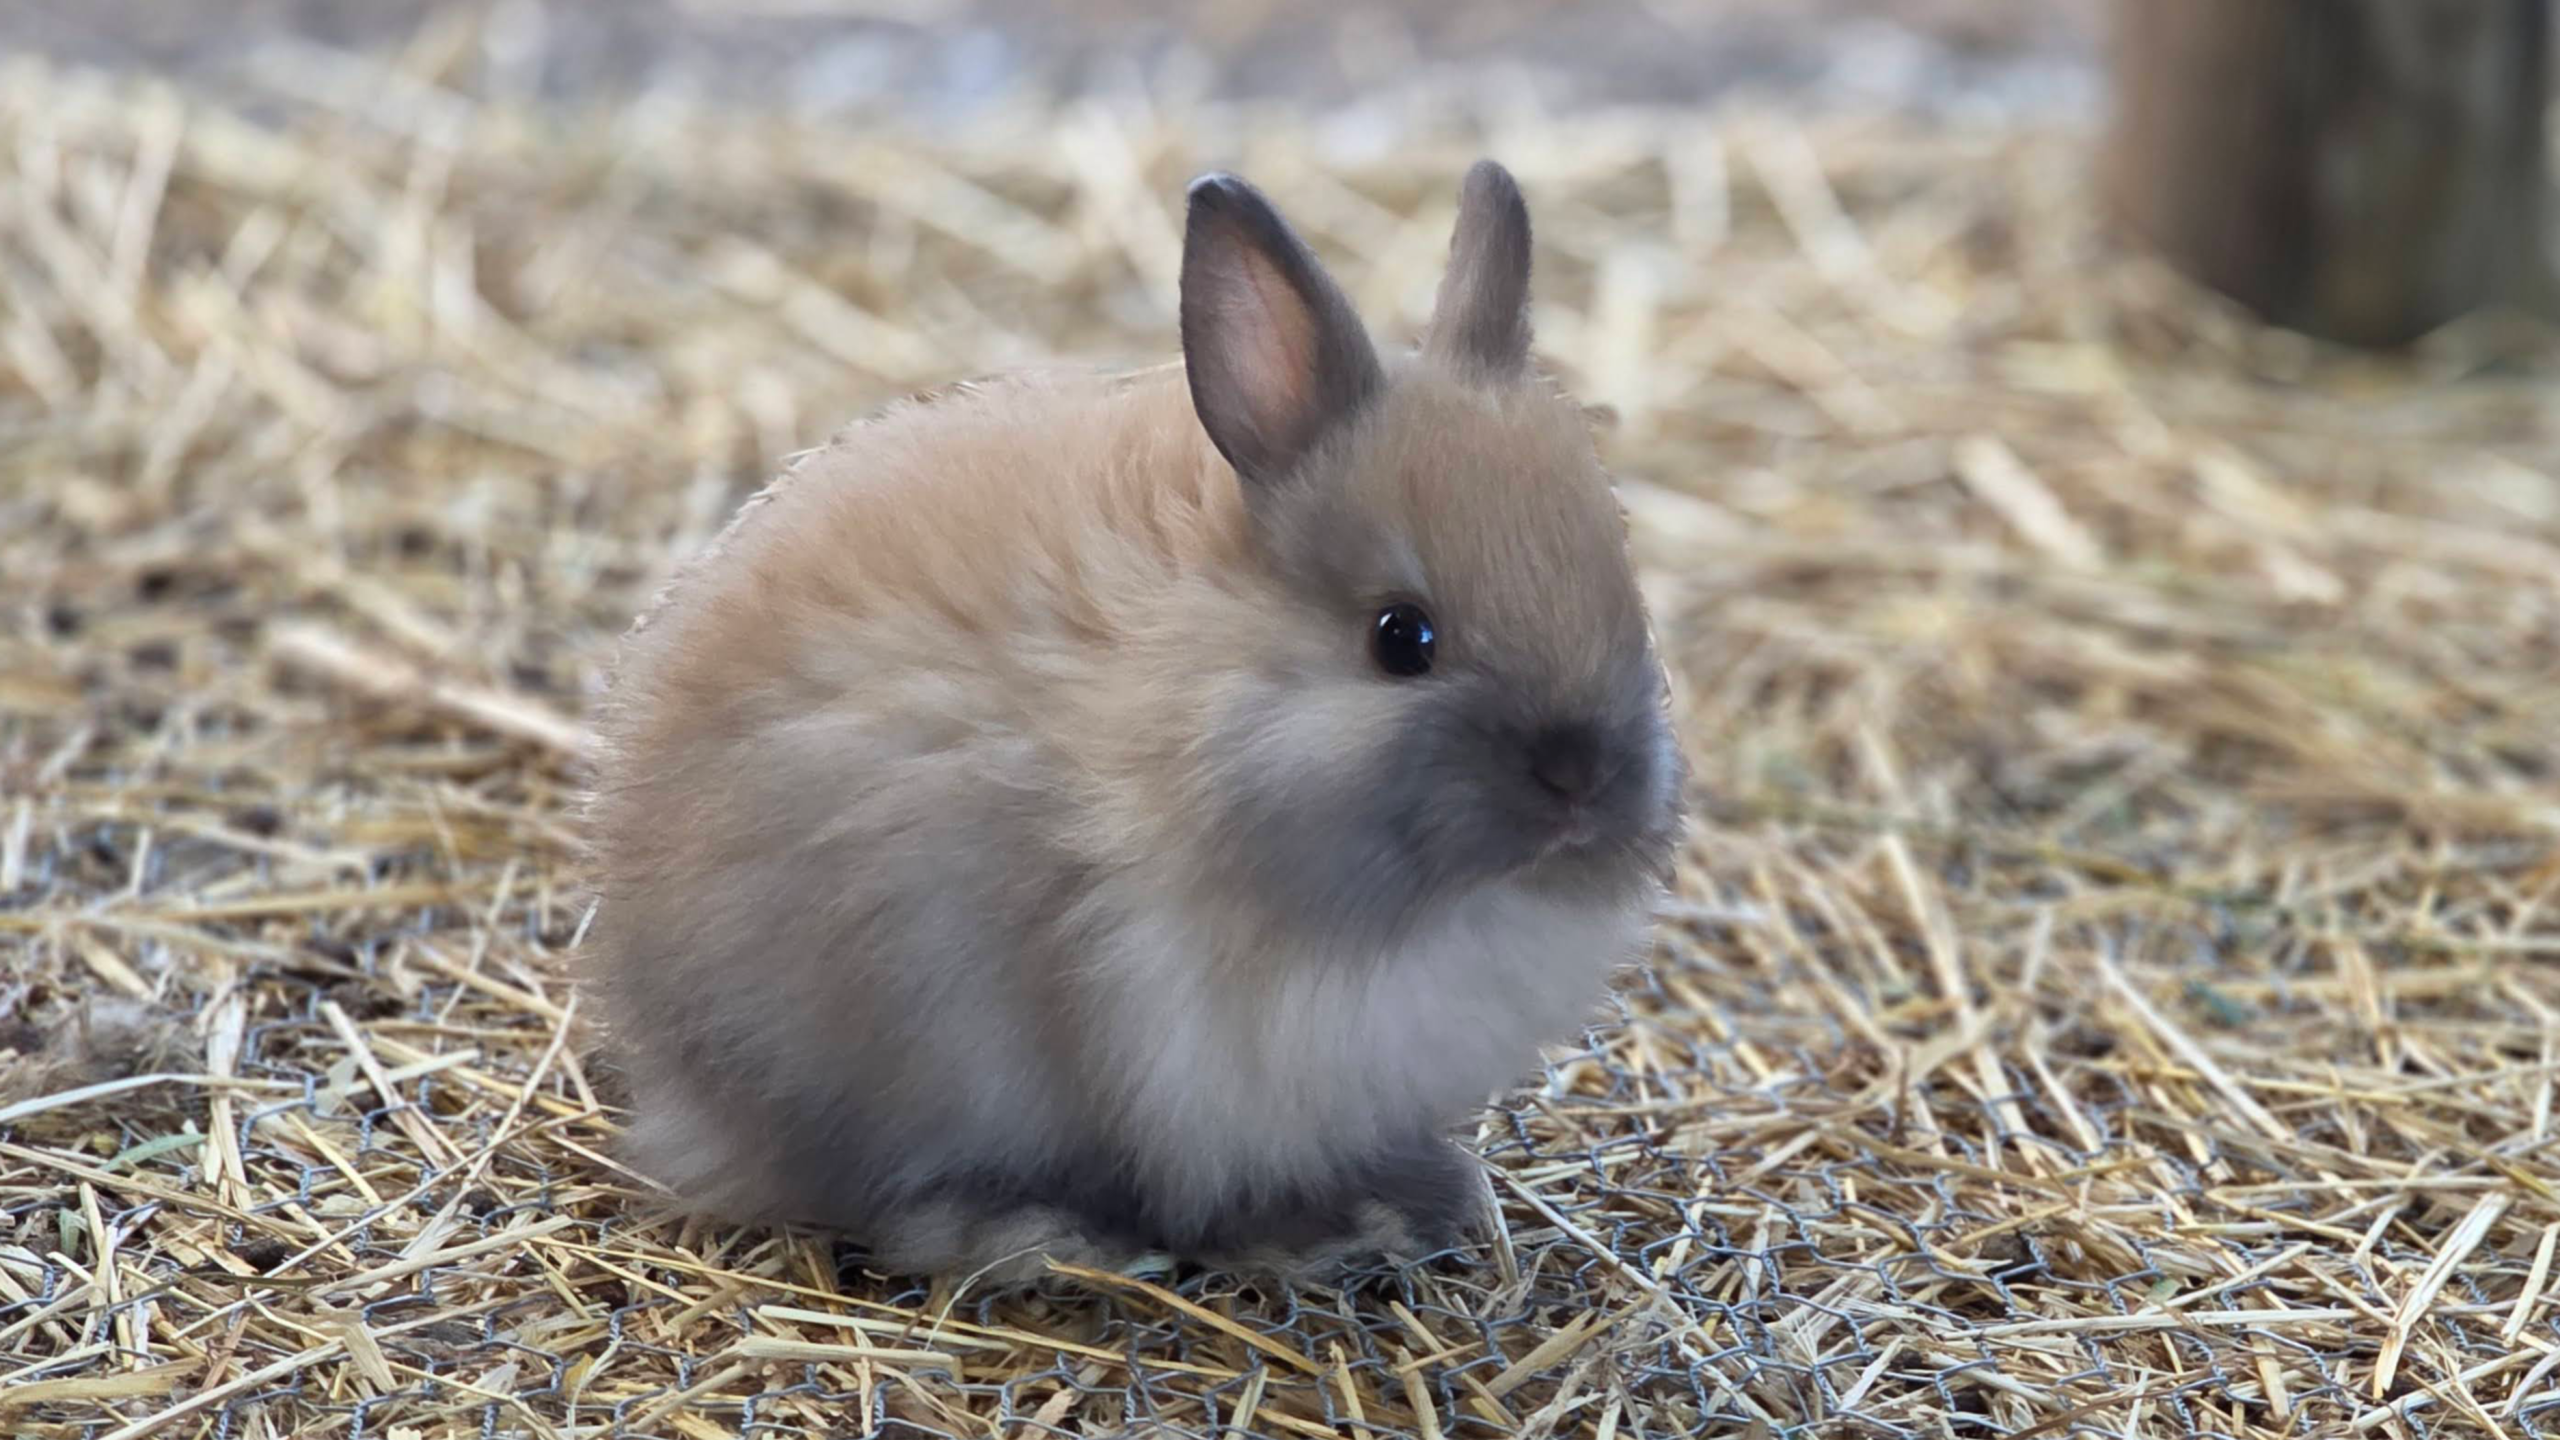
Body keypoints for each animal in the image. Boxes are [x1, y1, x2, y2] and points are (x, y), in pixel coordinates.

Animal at [582, 159, 1685, 1287]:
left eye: (1625, 604)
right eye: (1402, 638)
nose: (1582, 779)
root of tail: (679, 1072)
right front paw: (1344, 1222)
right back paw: (1038, 1235)